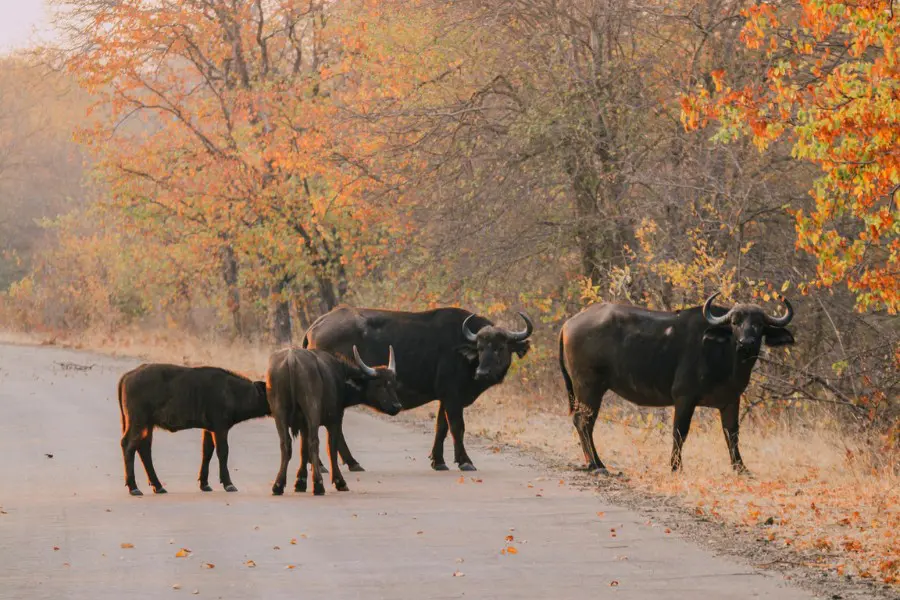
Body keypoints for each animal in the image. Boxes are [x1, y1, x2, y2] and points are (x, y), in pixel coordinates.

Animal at [118, 363, 269, 496]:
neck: (232, 392)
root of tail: (128, 375)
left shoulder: (209, 429)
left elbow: (207, 452)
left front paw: (204, 484)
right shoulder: (220, 427)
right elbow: (223, 452)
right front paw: (228, 484)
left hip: (147, 425)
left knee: (144, 448)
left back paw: (158, 486)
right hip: (138, 421)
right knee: (128, 445)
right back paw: (134, 488)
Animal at [267, 345, 402, 496]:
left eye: (393, 384)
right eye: (380, 384)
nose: (397, 406)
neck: (341, 375)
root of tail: (291, 359)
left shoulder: (304, 426)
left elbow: (303, 450)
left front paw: (300, 482)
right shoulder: (335, 420)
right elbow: (331, 449)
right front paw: (340, 482)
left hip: (279, 413)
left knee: (286, 444)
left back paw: (278, 485)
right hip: (312, 409)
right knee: (314, 443)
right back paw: (318, 484)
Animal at [303, 306, 533, 471]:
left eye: (500, 347)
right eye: (480, 347)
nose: (483, 372)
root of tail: (315, 326)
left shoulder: (445, 398)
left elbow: (441, 427)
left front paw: (438, 461)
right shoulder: (453, 396)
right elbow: (457, 427)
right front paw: (465, 461)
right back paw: (335, 464)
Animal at [559, 293, 794, 474]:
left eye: (758, 324)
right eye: (735, 323)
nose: (746, 343)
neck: (725, 356)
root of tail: (569, 323)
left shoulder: (731, 400)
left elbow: (732, 433)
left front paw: (741, 468)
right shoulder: (684, 397)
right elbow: (680, 431)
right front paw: (675, 466)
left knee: (584, 422)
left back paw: (595, 463)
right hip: (588, 387)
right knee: (583, 421)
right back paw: (597, 464)